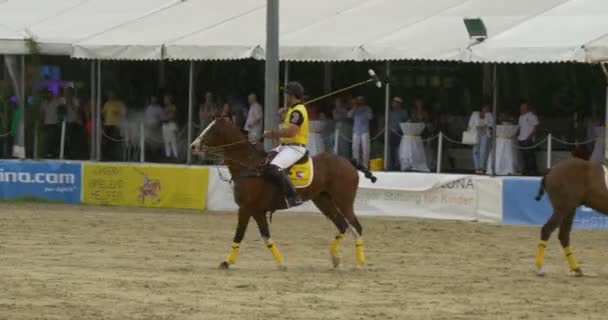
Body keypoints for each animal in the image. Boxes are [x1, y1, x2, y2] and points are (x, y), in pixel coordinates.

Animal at [190, 117, 376, 270]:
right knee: (343, 225)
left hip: (344, 200)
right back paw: (335, 259)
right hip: (323, 200)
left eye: (212, 130)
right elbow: (266, 237)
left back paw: (360, 264)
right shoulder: (257, 211)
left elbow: (239, 234)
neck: (249, 166)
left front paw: (226, 262)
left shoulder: (245, 208)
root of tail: (348, 161)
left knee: (356, 226)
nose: (193, 146)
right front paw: (281, 263)